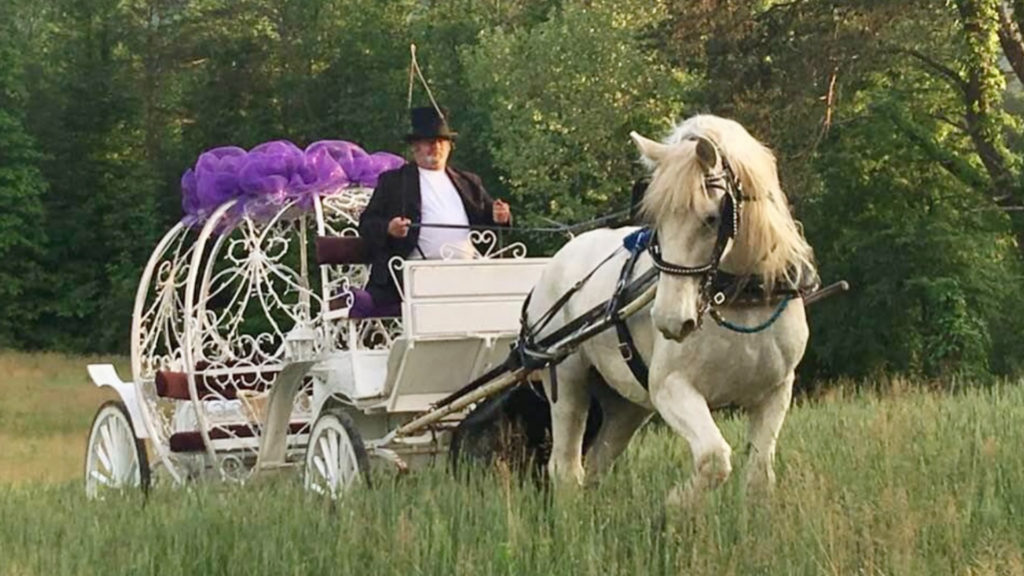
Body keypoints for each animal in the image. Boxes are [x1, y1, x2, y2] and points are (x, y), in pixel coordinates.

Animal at [528, 113, 815, 502]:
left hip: (626, 405)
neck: (739, 298)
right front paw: (676, 504)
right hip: (568, 377)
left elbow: (759, 474)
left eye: (711, 218)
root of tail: (557, 259)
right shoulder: (669, 387)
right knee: (565, 468)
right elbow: (713, 458)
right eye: (657, 223)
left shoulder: (776, 390)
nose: (669, 320)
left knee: (598, 461)